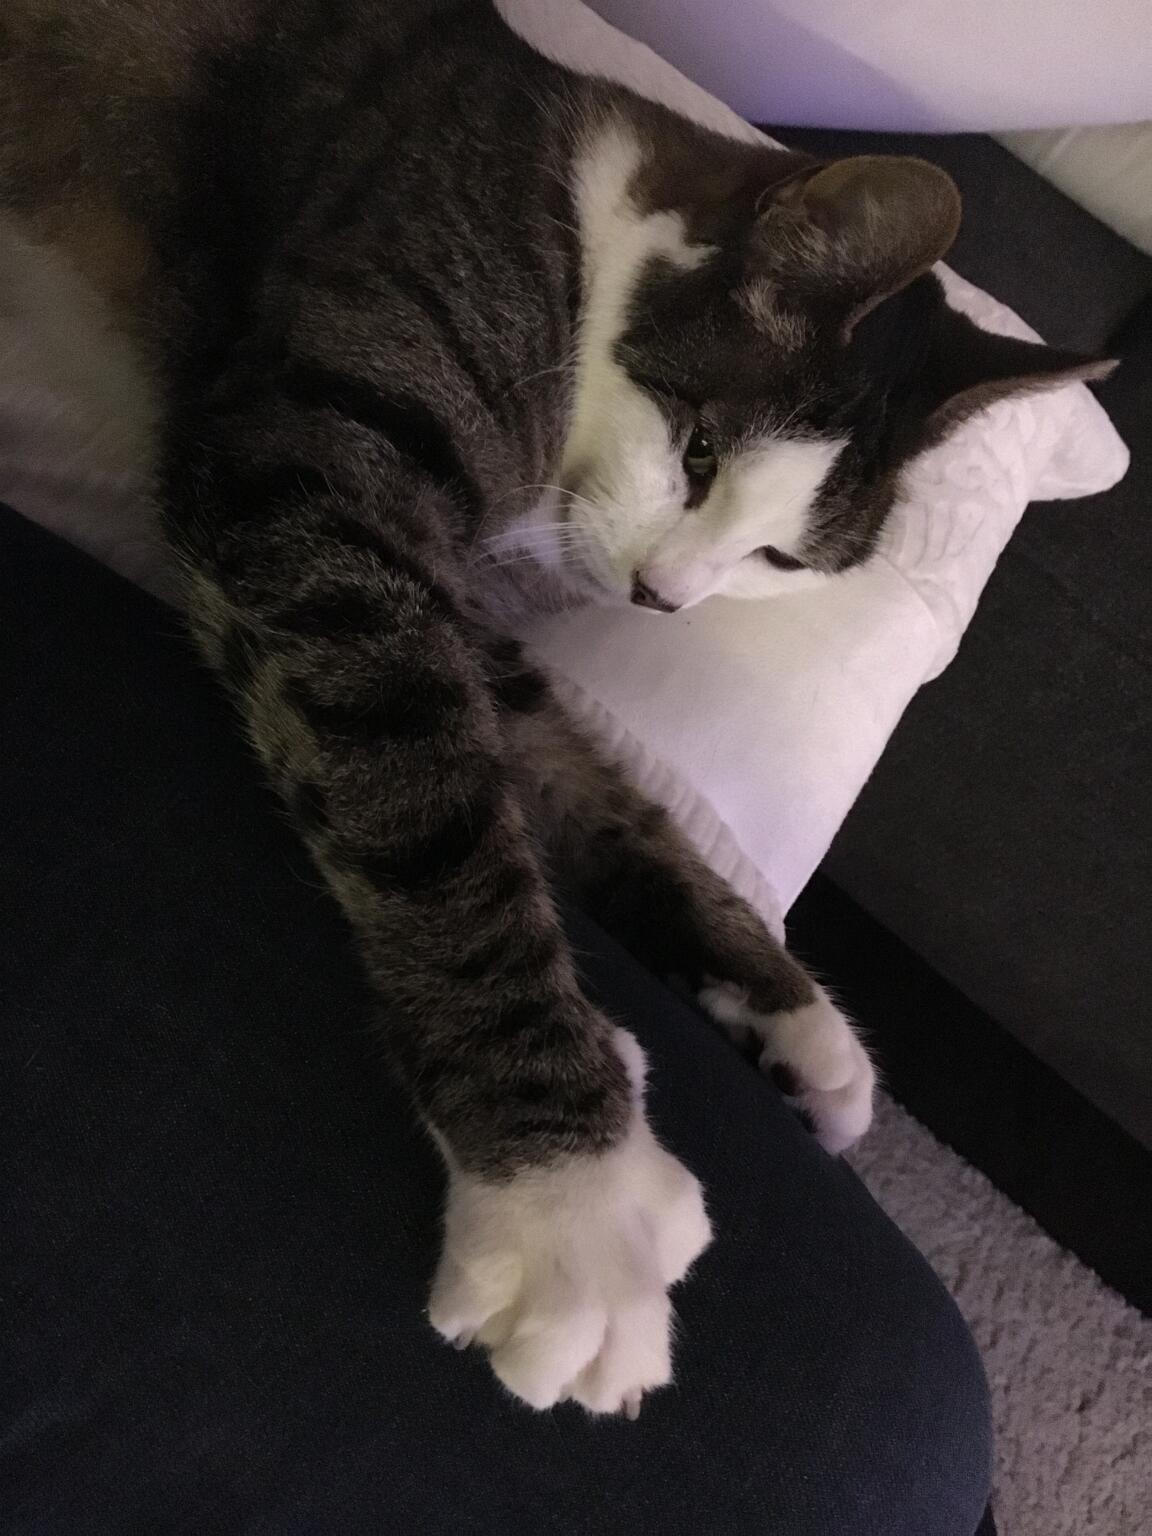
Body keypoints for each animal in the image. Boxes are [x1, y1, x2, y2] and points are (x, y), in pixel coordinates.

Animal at [0, 0, 1108, 1418]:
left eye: (782, 558)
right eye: (700, 452)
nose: (662, 598)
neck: (585, 240)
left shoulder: (447, 583)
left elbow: (573, 770)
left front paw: (782, 1005)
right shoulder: (311, 482)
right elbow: (433, 806)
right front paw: (572, 1204)